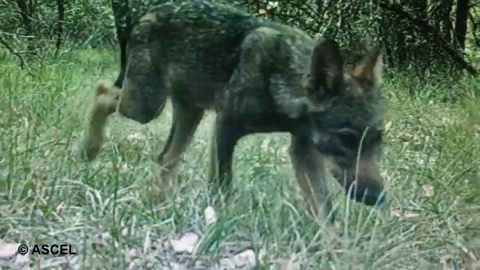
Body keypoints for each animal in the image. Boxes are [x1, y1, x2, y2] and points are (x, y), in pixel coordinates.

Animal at [79, 0, 386, 219]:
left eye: (379, 140)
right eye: (346, 138)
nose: (378, 198)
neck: (282, 78)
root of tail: (146, 12)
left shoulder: (303, 151)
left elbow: (327, 214)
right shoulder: (225, 127)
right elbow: (222, 187)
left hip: (187, 113)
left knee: (165, 158)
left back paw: (162, 204)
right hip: (146, 107)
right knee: (103, 91)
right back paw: (89, 150)